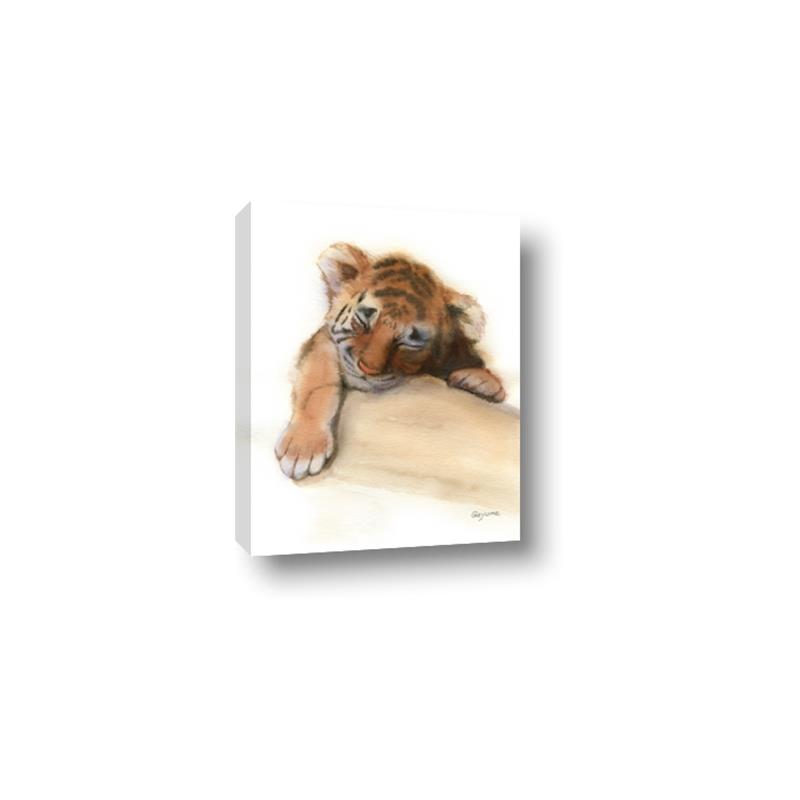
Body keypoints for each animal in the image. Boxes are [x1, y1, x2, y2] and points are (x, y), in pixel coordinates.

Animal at [275, 242, 507, 480]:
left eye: (410, 341)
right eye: (364, 320)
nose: (367, 369)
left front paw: (480, 379)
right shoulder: (323, 343)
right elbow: (317, 384)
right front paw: (303, 448)